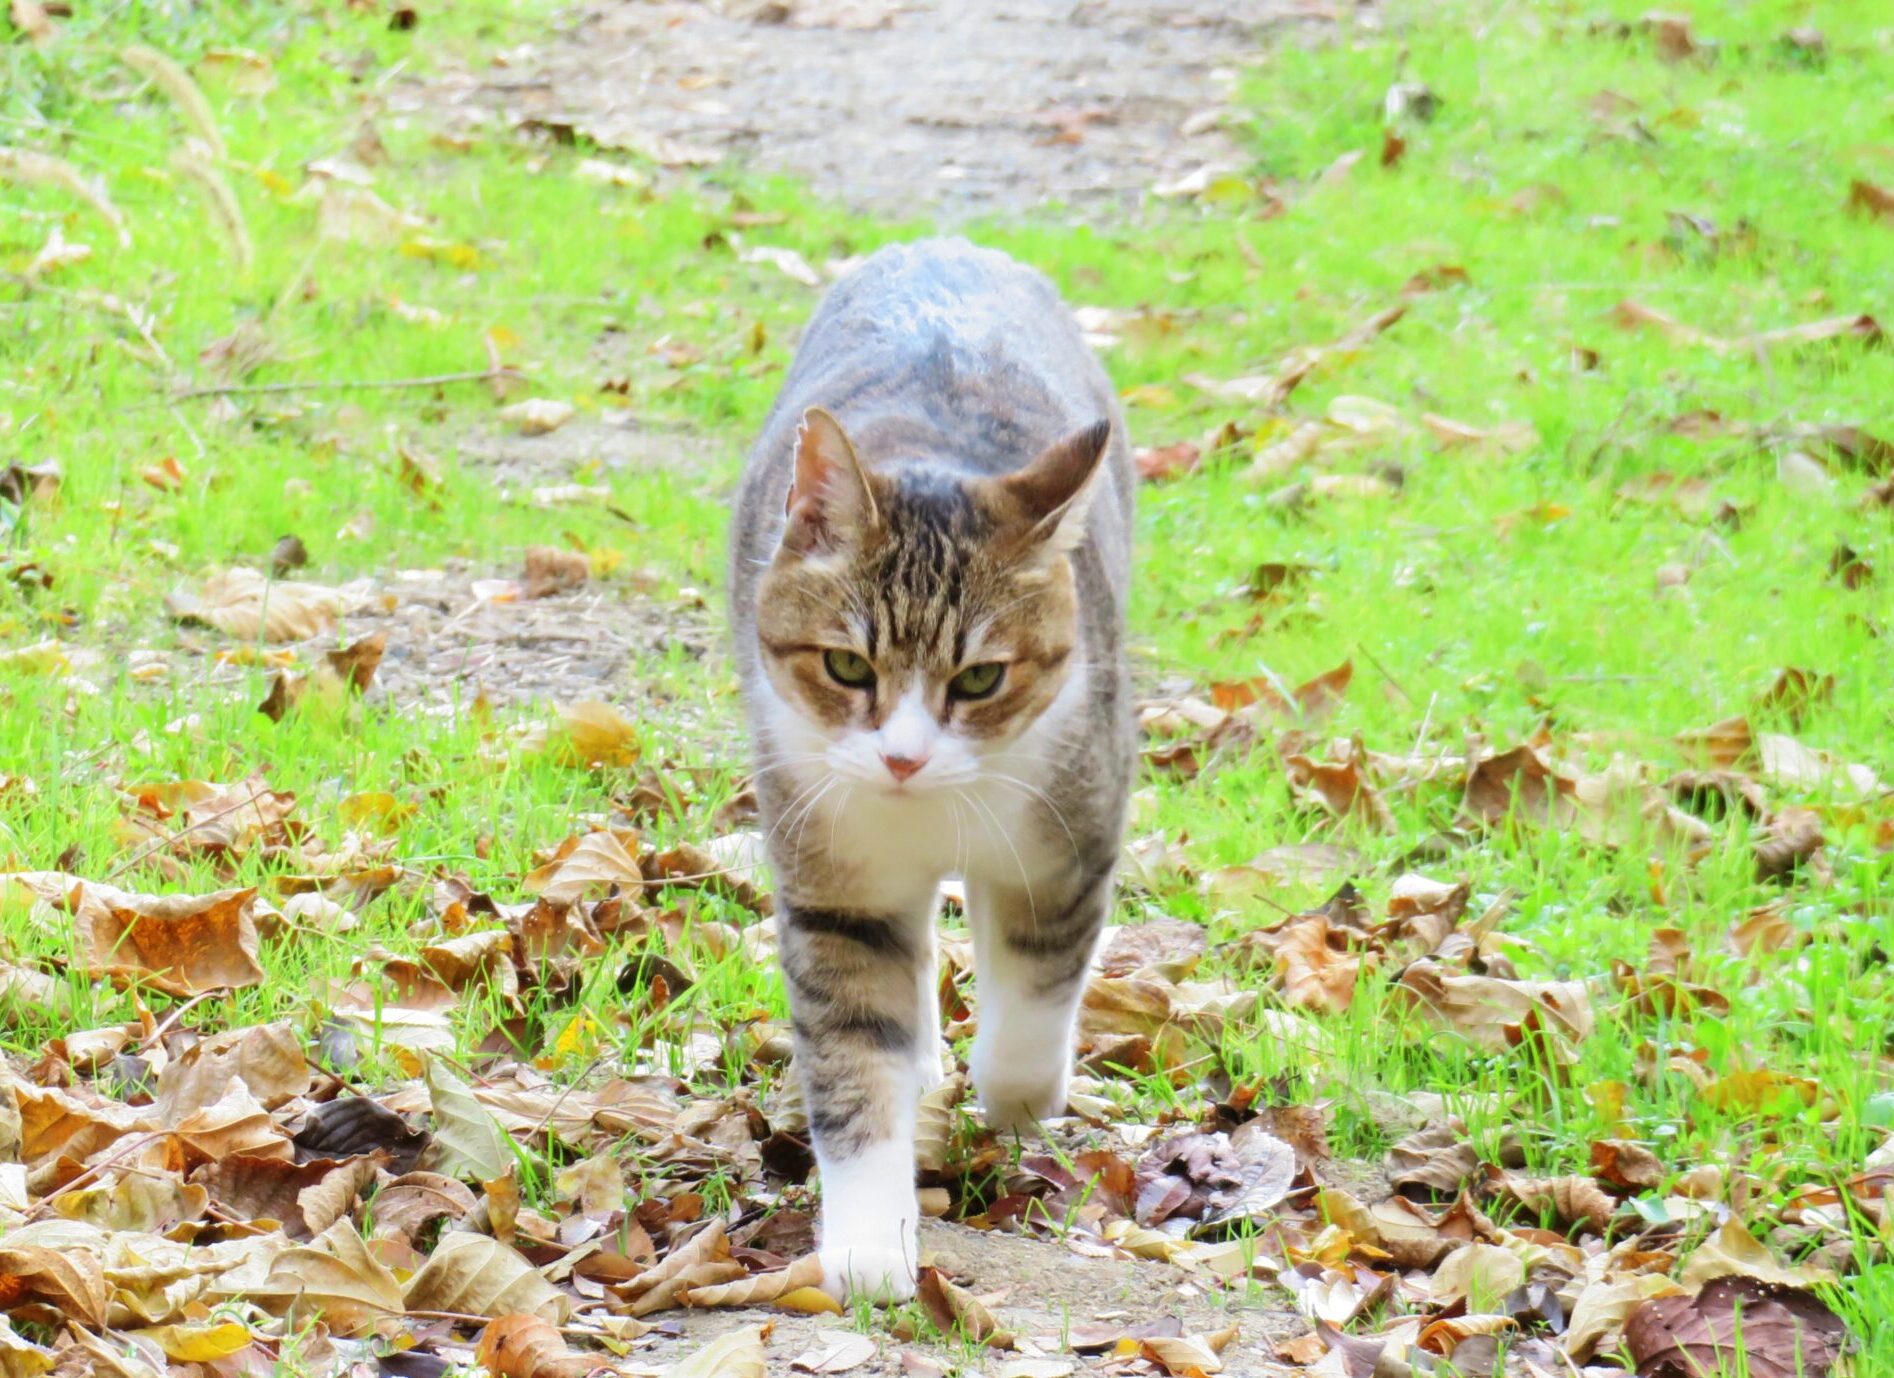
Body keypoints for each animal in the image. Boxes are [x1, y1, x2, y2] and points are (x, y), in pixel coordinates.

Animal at [727, 236, 1128, 1302]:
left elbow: (1038, 982)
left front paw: (1018, 1098)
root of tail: (945, 246)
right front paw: (870, 1238)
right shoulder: (834, 871)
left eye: (981, 677)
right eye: (846, 667)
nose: (903, 756)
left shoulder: (1070, 828)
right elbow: (854, 1044)